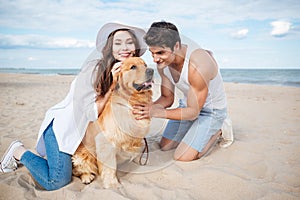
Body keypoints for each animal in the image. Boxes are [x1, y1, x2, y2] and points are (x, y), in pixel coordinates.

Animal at [72, 57, 152, 188]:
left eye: (145, 65)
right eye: (133, 67)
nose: (151, 70)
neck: (130, 101)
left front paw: (139, 158)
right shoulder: (106, 142)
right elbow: (109, 166)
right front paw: (112, 183)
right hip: (83, 155)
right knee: (77, 170)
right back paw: (86, 176)